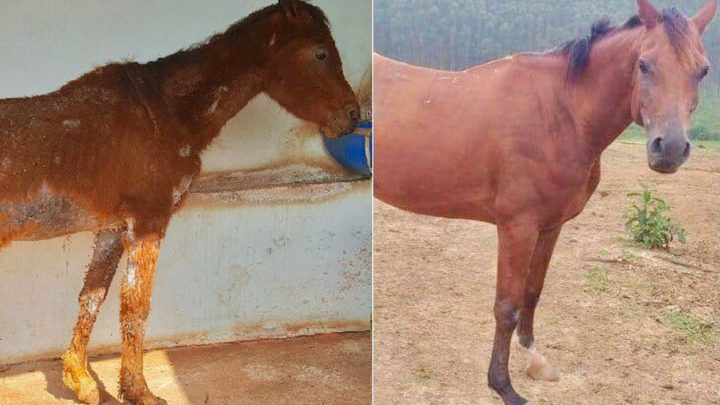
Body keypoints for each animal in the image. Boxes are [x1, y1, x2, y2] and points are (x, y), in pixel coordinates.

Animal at [0, 1, 358, 402]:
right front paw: (139, 391)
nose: (353, 116)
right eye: (320, 53)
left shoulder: (113, 229)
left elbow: (93, 296)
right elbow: (135, 307)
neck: (164, 114)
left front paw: (80, 380)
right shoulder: (148, 221)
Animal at [374, 0, 716, 404]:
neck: (558, 112)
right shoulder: (517, 228)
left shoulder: (551, 226)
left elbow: (532, 293)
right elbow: (506, 306)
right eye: (644, 64)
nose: (671, 149)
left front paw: (533, 359)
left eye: (702, 70)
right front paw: (503, 385)